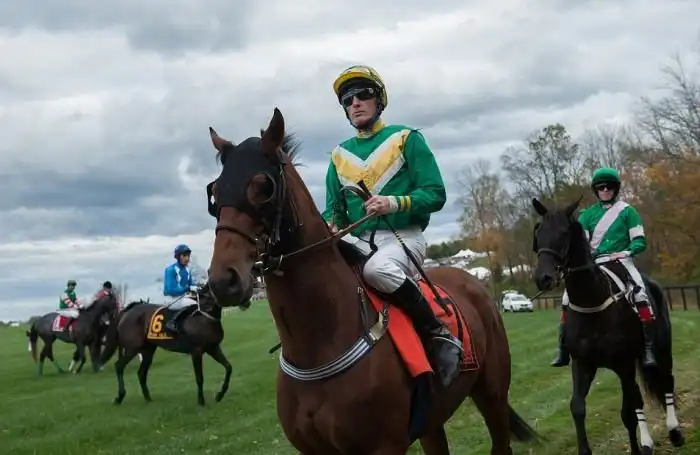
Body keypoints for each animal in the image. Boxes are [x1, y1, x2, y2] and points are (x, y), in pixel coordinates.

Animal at [98, 284, 246, 406]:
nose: (246, 301)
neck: (204, 316)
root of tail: (128, 311)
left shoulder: (213, 348)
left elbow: (228, 367)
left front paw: (220, 395)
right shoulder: (196, 351)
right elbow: (199, 377)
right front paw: (201, 401)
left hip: (148, 350)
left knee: (141, 373)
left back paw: (148, 398)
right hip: (132, 348)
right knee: (119, 366)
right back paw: (119, 397)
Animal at [204, 108, 540, 455]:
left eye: (263, 186)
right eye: (214, 193)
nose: (224, 280)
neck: (319, 345)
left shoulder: (384, 446)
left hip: (492, 393)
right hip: (433, 422)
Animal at [531, 197, 684, 455]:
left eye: (564, 233)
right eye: (539, 232)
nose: (543, 278)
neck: (593, 302)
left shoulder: (623, 365)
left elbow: (629, 412)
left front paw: (639, 447)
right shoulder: (583, 364)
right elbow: (577, 407)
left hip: (662, 348)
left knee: (666, 382)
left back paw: (674, 432)